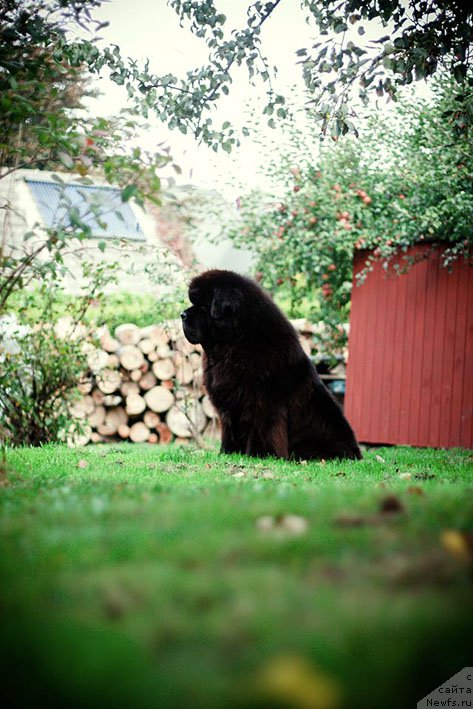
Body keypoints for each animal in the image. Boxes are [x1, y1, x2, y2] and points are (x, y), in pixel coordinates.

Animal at [182, 268, 362, 462]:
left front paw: (261, 454)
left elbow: (264, 430)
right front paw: (229, 452)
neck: (234, 343)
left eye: (202, 306)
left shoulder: (264, 403)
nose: (182, 315)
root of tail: (357, 453)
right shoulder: (230, 403)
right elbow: (230, 429)